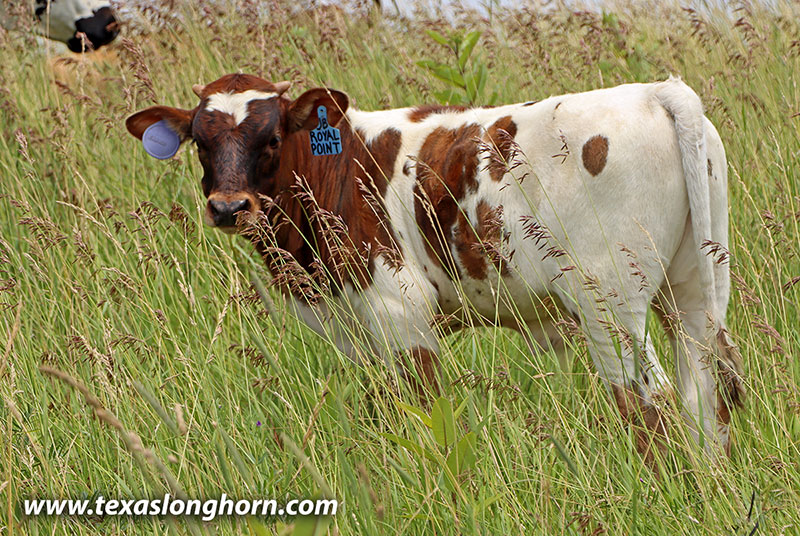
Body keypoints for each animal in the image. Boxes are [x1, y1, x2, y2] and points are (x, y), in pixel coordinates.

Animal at [125, 73, 745, 459]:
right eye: (199, 141)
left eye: (272, 135)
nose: (229, 207)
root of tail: (656, 90)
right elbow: (384, 410)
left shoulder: (401, 309)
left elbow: (426, 416)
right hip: (695, 288)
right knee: (705, 396)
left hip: (608, 301)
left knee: (647, 398)